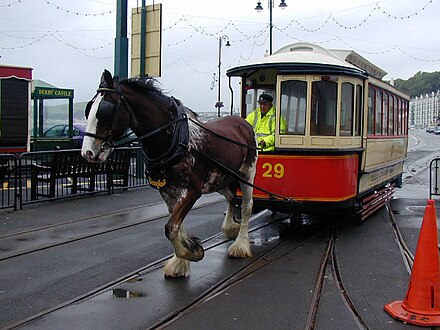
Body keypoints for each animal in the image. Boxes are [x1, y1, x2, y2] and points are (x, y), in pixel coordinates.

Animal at [81, 69, 258, 278]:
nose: (87, 152)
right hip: (220, 178)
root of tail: (242, 121)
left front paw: (190, 253)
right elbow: (175, 225)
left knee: (246, 206)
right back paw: (230, 228)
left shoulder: (192, 192)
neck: (175, 137)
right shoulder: (167, 191)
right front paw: (182, 259)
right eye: (89, 109)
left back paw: (240, 245)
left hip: (246, 174)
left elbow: (170, 227)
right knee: (231, 197)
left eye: (105, 110)